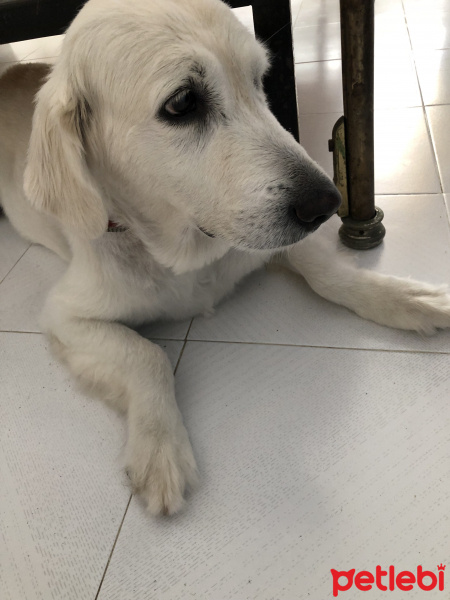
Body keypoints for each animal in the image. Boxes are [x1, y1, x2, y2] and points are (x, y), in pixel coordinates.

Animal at [0, 0, 450, 516]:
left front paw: (407, 298)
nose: (327, 202)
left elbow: (329, 274)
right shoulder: (65, 315)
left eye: (258, 80)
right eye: (182, 103)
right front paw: (159, 449)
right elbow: (146, 355)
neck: (187, 254)